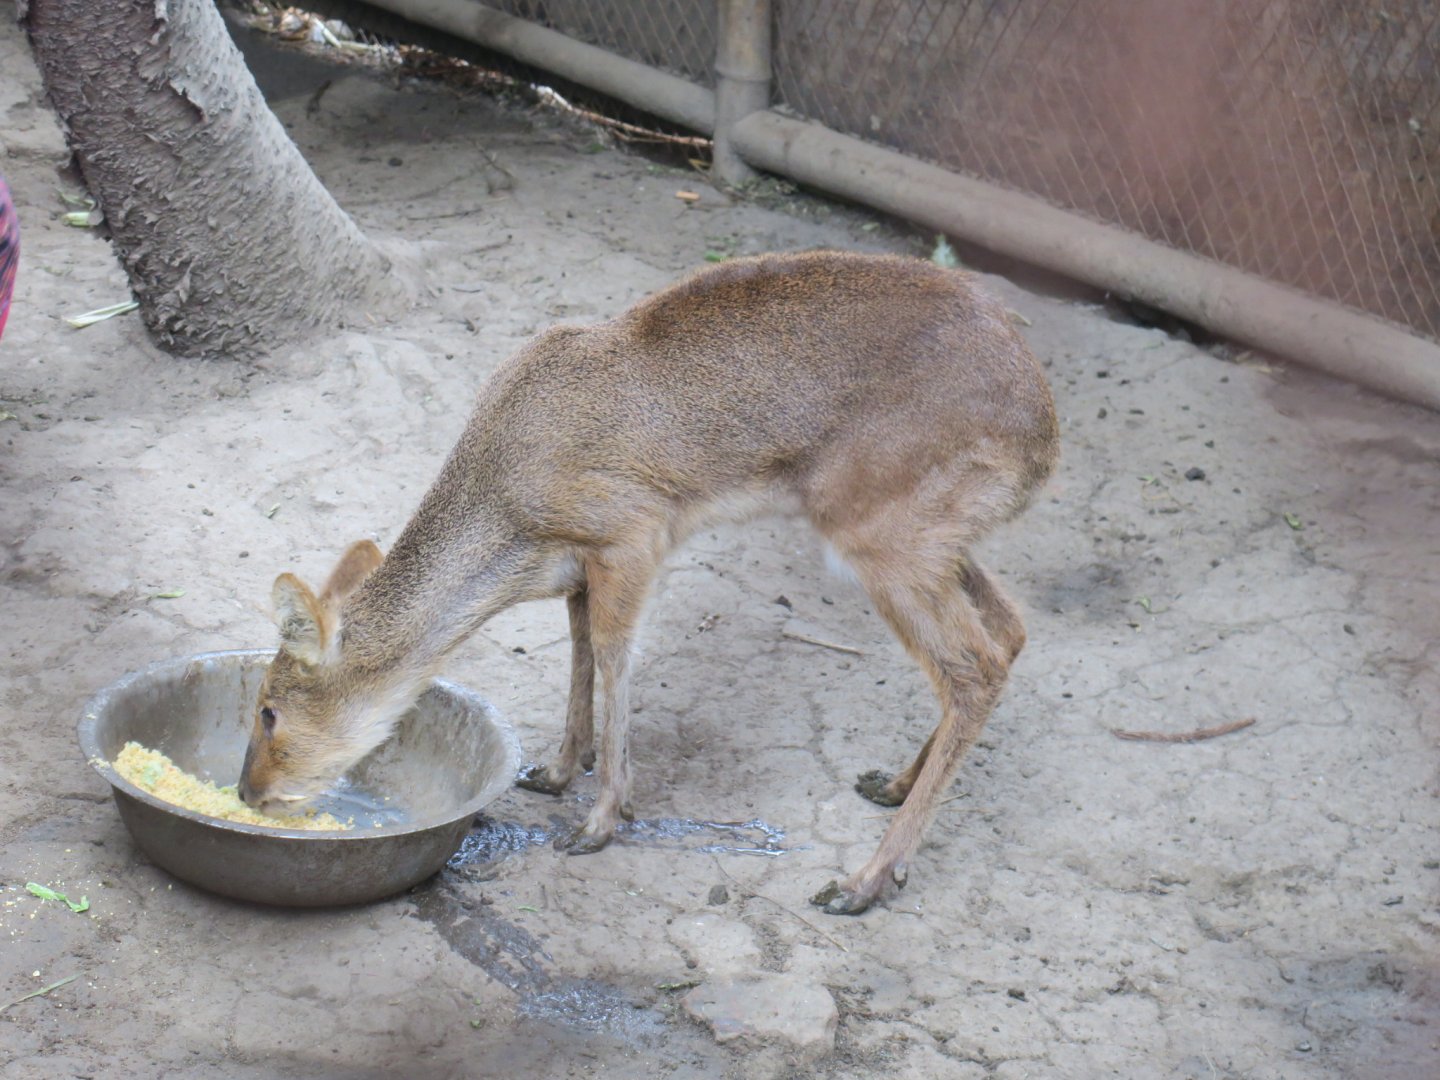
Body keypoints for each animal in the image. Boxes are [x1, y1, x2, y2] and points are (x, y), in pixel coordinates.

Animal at [237, 250, 1059, 915]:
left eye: (270, 710)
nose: (249, 791)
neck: (508, 502)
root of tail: (1043, 430)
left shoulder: (634, 536)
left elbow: (614, 657)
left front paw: (601, 821)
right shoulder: (577, 569)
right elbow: (577, 654)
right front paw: (556, 770)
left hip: (881, 539)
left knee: (972, 666)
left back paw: (863, 881)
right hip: (932, 538)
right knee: (1010, 629)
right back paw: (889, 785)